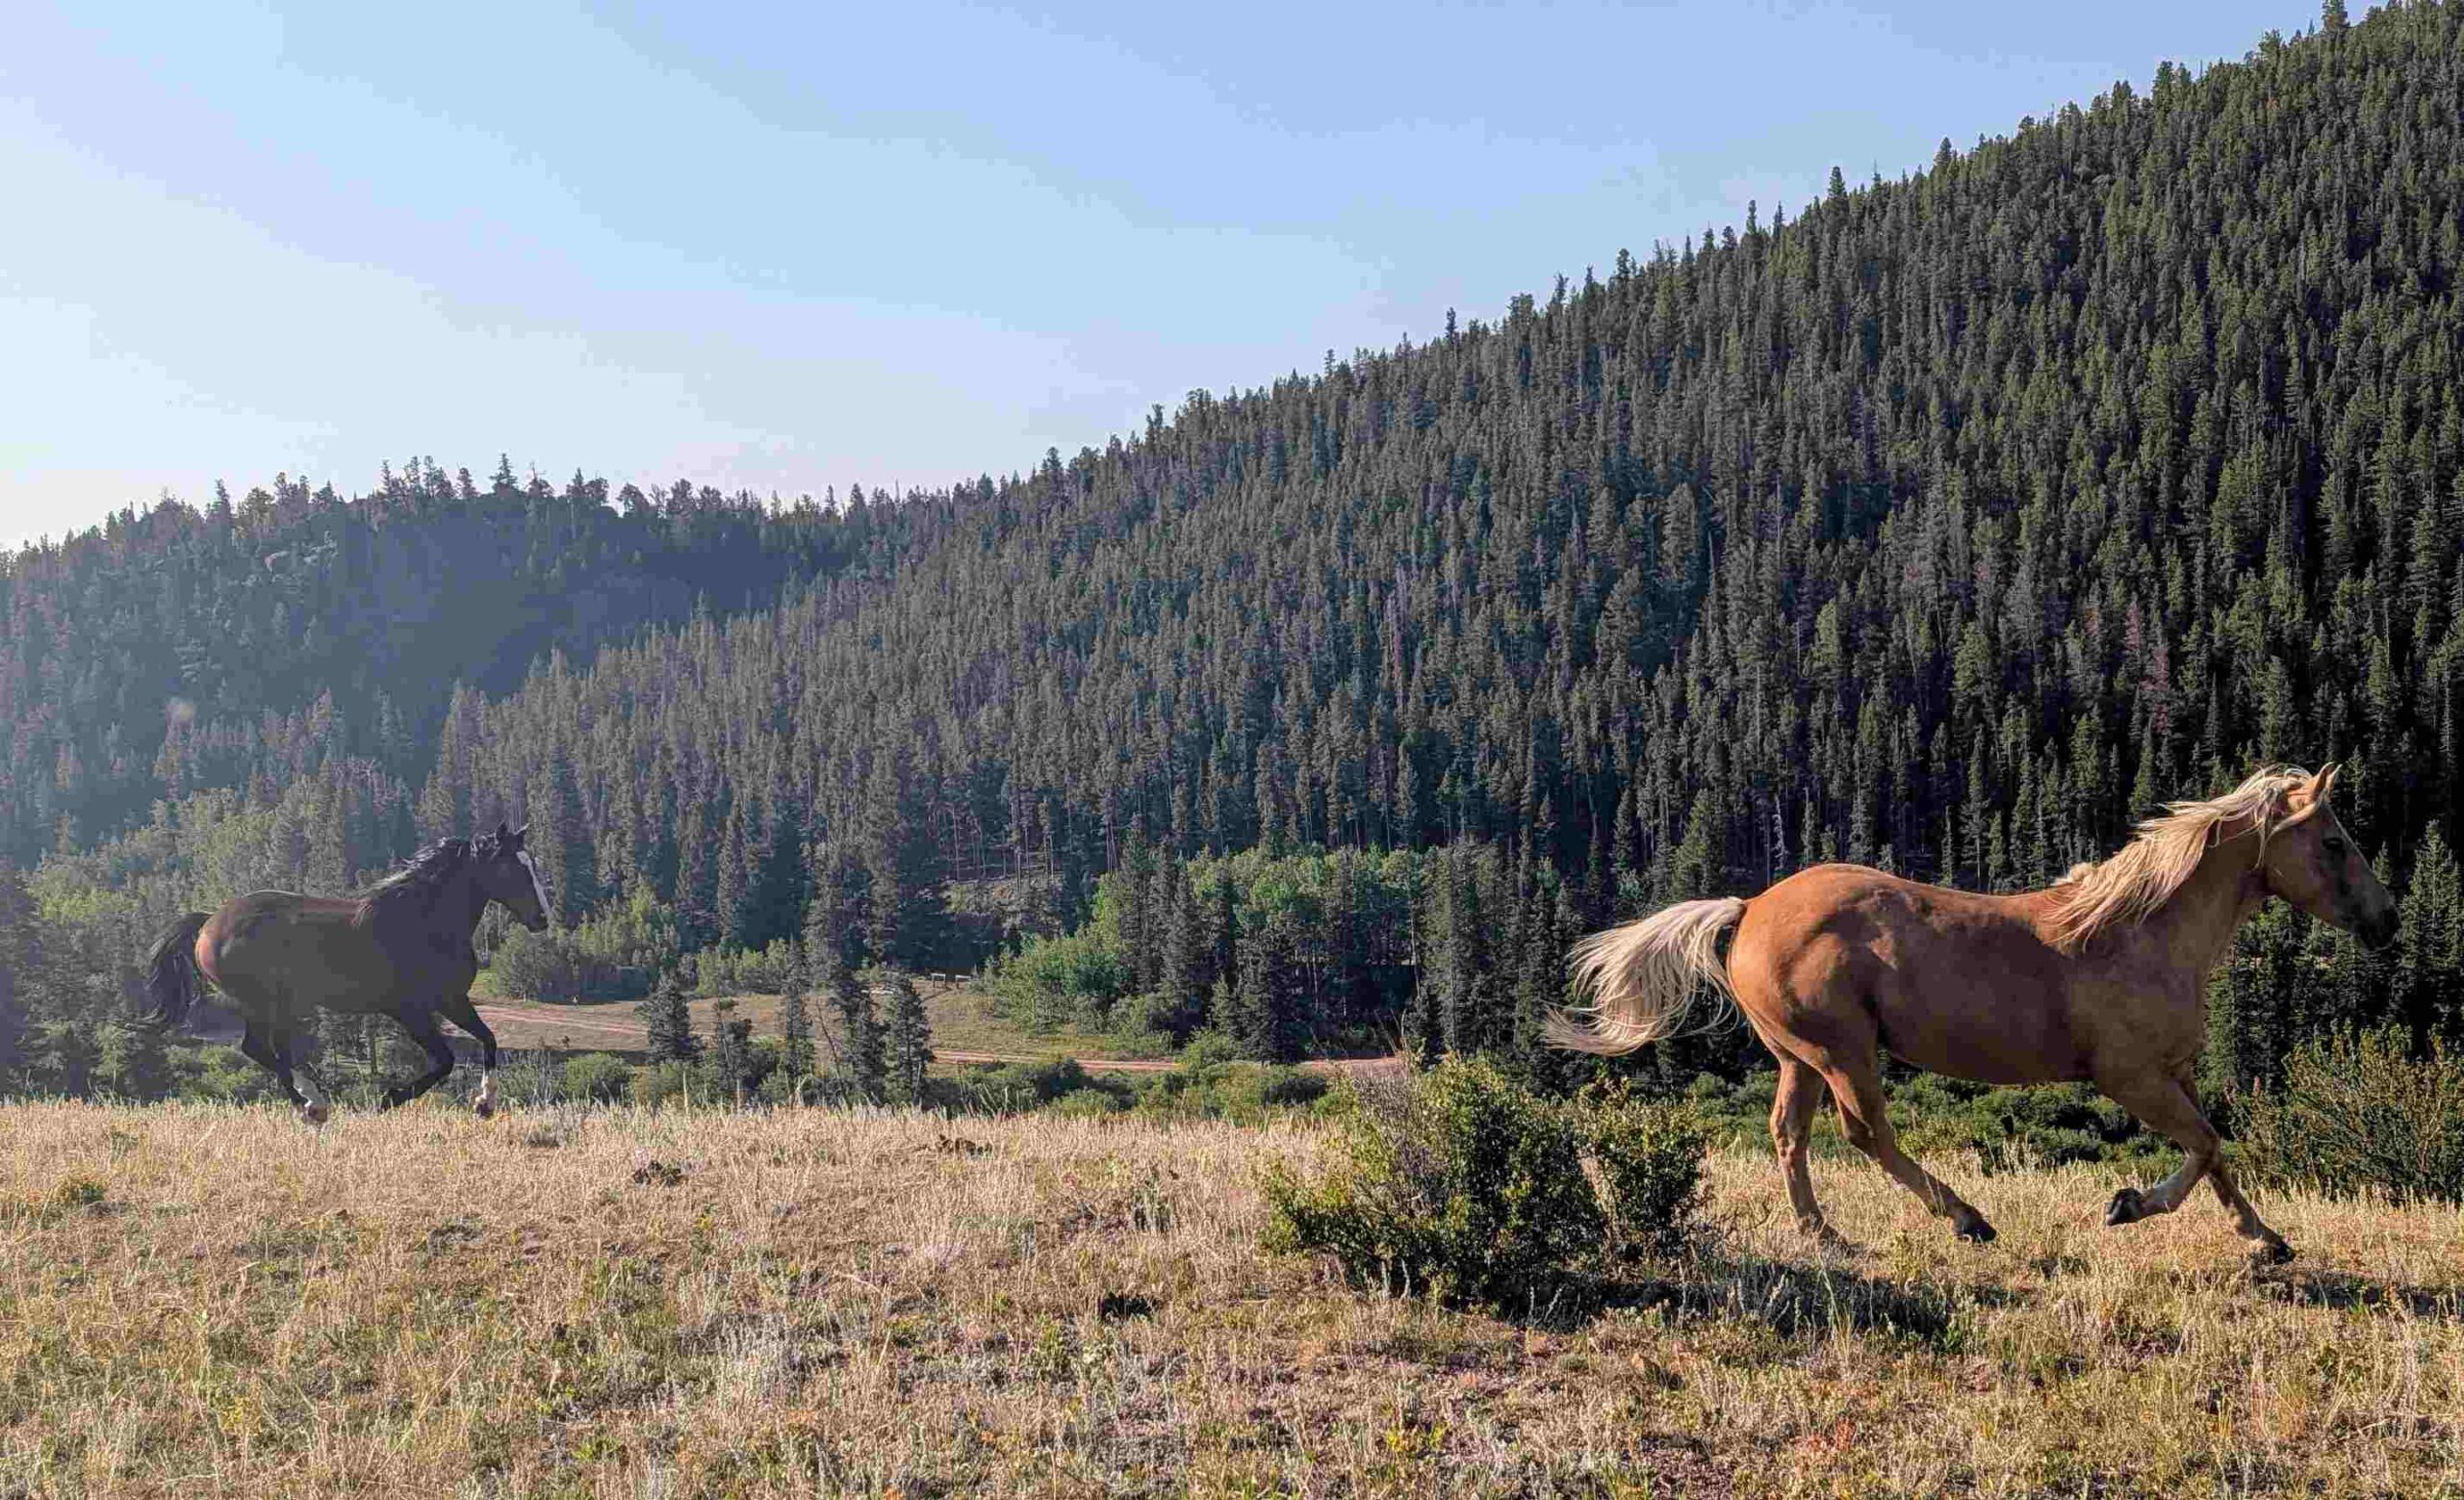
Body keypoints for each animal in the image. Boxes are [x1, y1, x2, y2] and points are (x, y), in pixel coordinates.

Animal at [143, 823, 552, 1122]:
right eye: (512, 867)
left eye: (531, 862)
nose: (542, 918)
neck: (425, 922)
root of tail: (208, 922)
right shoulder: (410, 1010)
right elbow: (446, 1061)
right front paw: (390, 1098)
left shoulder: (451, 999)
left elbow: (488, 1040)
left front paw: (485, 1103)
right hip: (263, 1002)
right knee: (260, 1049)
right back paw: (312, 1108)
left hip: (276, 1005)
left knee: (271, 1051)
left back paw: (312, 1101)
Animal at [1547, 765, 2399, 1263]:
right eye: (2333, 841)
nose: (2388, 921)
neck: (2144, 930)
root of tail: (1749, 908)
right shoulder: (2130, 1078)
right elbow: (2203, 1146)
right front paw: (2128, 1206)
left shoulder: (2174, 1072)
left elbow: (2215, 1153)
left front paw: (2266, 1238)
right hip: (1842, 1052)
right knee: (1866, 1134)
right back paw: (1966, 1219)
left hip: (1798, 1059)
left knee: (1789, 1137)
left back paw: (1827, 1235)